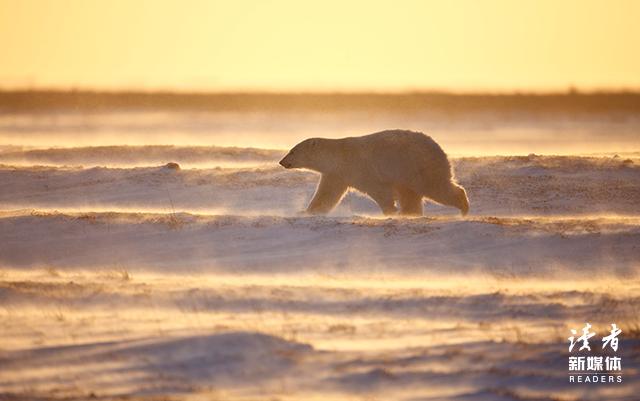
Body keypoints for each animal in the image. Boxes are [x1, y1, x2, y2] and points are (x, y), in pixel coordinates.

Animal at [280, 129, 470, 216]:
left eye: (292, 151)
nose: (282, 161)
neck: (339, 155)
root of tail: (438, 147)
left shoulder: (361, 168)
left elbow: (379, 191)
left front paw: (390, 212)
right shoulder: (337, 174)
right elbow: (326, 195)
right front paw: (307, 211)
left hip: (418, 166)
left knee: (436, 187)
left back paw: (463, 207)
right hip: (408, 173)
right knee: (411, 195)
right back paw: (409, 214)